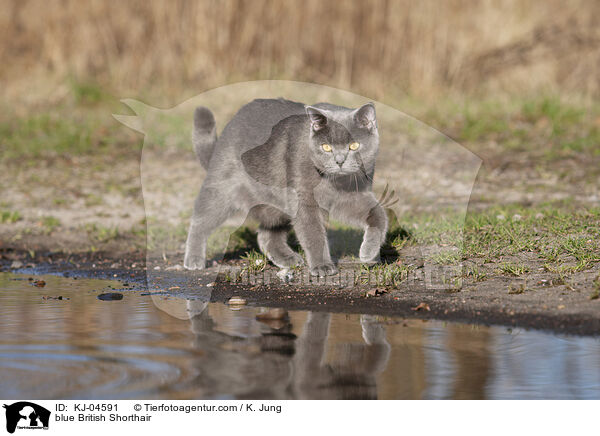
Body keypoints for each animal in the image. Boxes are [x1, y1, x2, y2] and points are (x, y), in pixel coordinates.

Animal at [184, 98, 390, 276]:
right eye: (326, 147)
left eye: (354, 145)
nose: (339, 161)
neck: (336, 183)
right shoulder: (304, 200)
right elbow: (313, 233)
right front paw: (322, 266)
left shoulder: (354, 195)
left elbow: (379, 215)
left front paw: (369, 253)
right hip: (221, 189)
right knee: (200, 222)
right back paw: (193, 260)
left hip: (277, 205)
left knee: (266, 235)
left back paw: (287, 258)